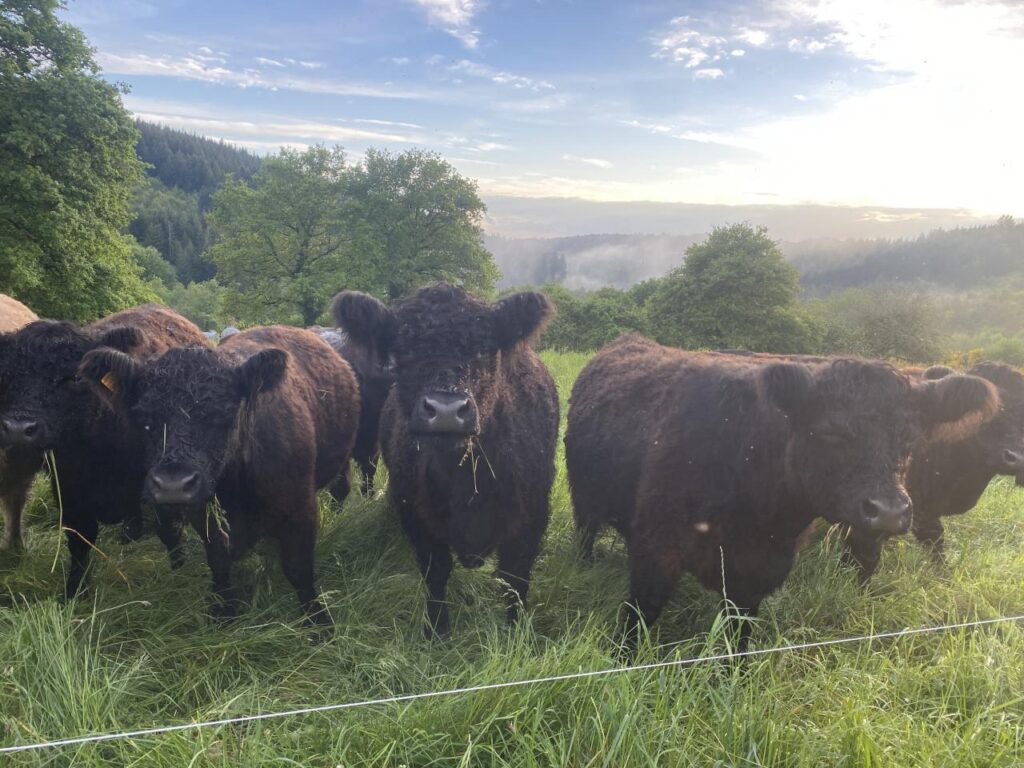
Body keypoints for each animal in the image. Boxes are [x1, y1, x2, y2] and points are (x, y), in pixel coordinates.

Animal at [0, 304, 207, 596]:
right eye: (8, 375)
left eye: (76, 377)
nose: (19, 428)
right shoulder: (70, 491)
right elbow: (80, 541)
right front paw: (75, 591)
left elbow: (169, 529)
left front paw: (179, 572)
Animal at [79, 326, 359, 625]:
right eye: (145, 418)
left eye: (222, 415)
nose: (172, 486)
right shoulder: (205, 514)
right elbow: (218, 561)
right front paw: (223, 611)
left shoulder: (300, 508)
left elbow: (299, 569)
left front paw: (318, 621)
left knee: (341, 488)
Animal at [332, 284, 559, 639]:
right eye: (402, 352)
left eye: (484, 350)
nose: (446, 410)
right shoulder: (415, 513)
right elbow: (435, 572)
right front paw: (438, 632)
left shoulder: (532, 516)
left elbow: (515, 580)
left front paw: (514, 633)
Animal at [565, 334, 998, 653]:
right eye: (829, 433)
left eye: (909, 441)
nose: (889, 511)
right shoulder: (656, 551)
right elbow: (639, 618)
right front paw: (622, 660)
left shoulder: (759, 571)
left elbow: (738, 634)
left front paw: (731, 679)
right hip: (584, 501)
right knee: (584, 536)